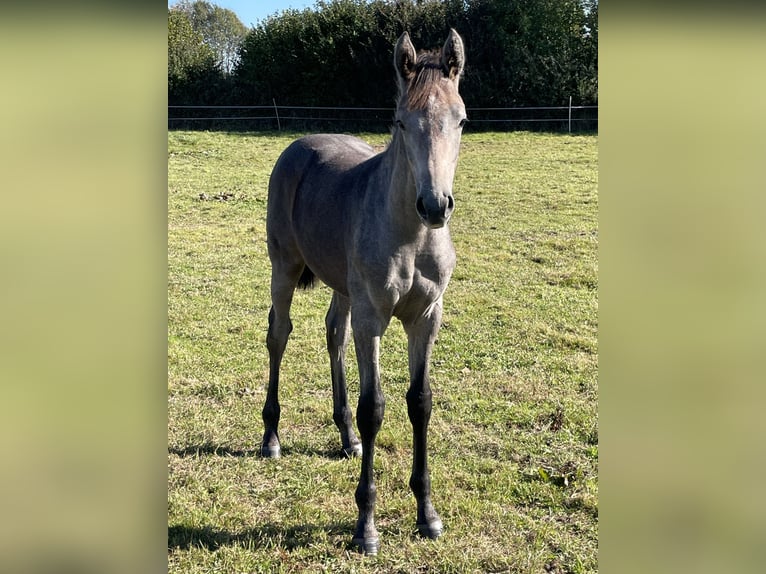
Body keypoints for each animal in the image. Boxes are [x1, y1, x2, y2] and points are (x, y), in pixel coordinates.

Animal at [260, 29, 468, 556]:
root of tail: (299, 145)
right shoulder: (374, 318)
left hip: (343, 286)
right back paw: (270, 437)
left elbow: (420, 402)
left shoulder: (426, 317)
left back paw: (347, 437)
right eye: (400, 121)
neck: (412, 236)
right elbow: (374, 407)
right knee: (279, 334)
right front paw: (366, 525)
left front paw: (427, 514)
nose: (435, 205)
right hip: (284, 268)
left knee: (333, 331)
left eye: (461, 120)